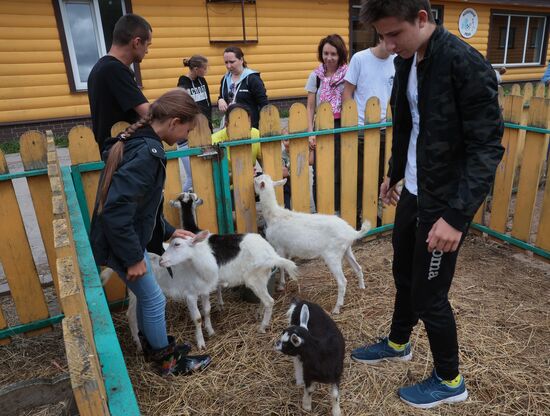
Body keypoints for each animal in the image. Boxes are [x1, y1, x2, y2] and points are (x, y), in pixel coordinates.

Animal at [256, 174, 374, 314]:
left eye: (256, 181)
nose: (255, 177)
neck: (274, 216)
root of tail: (352, 232)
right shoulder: (287, 248)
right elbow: (287, 262)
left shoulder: (279, 246)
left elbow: (281, 267)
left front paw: (281, 285)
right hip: (347, 250)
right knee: (358, 267)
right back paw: (362, 287)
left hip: (333, 255)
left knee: (342, 281)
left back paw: (337, 308)